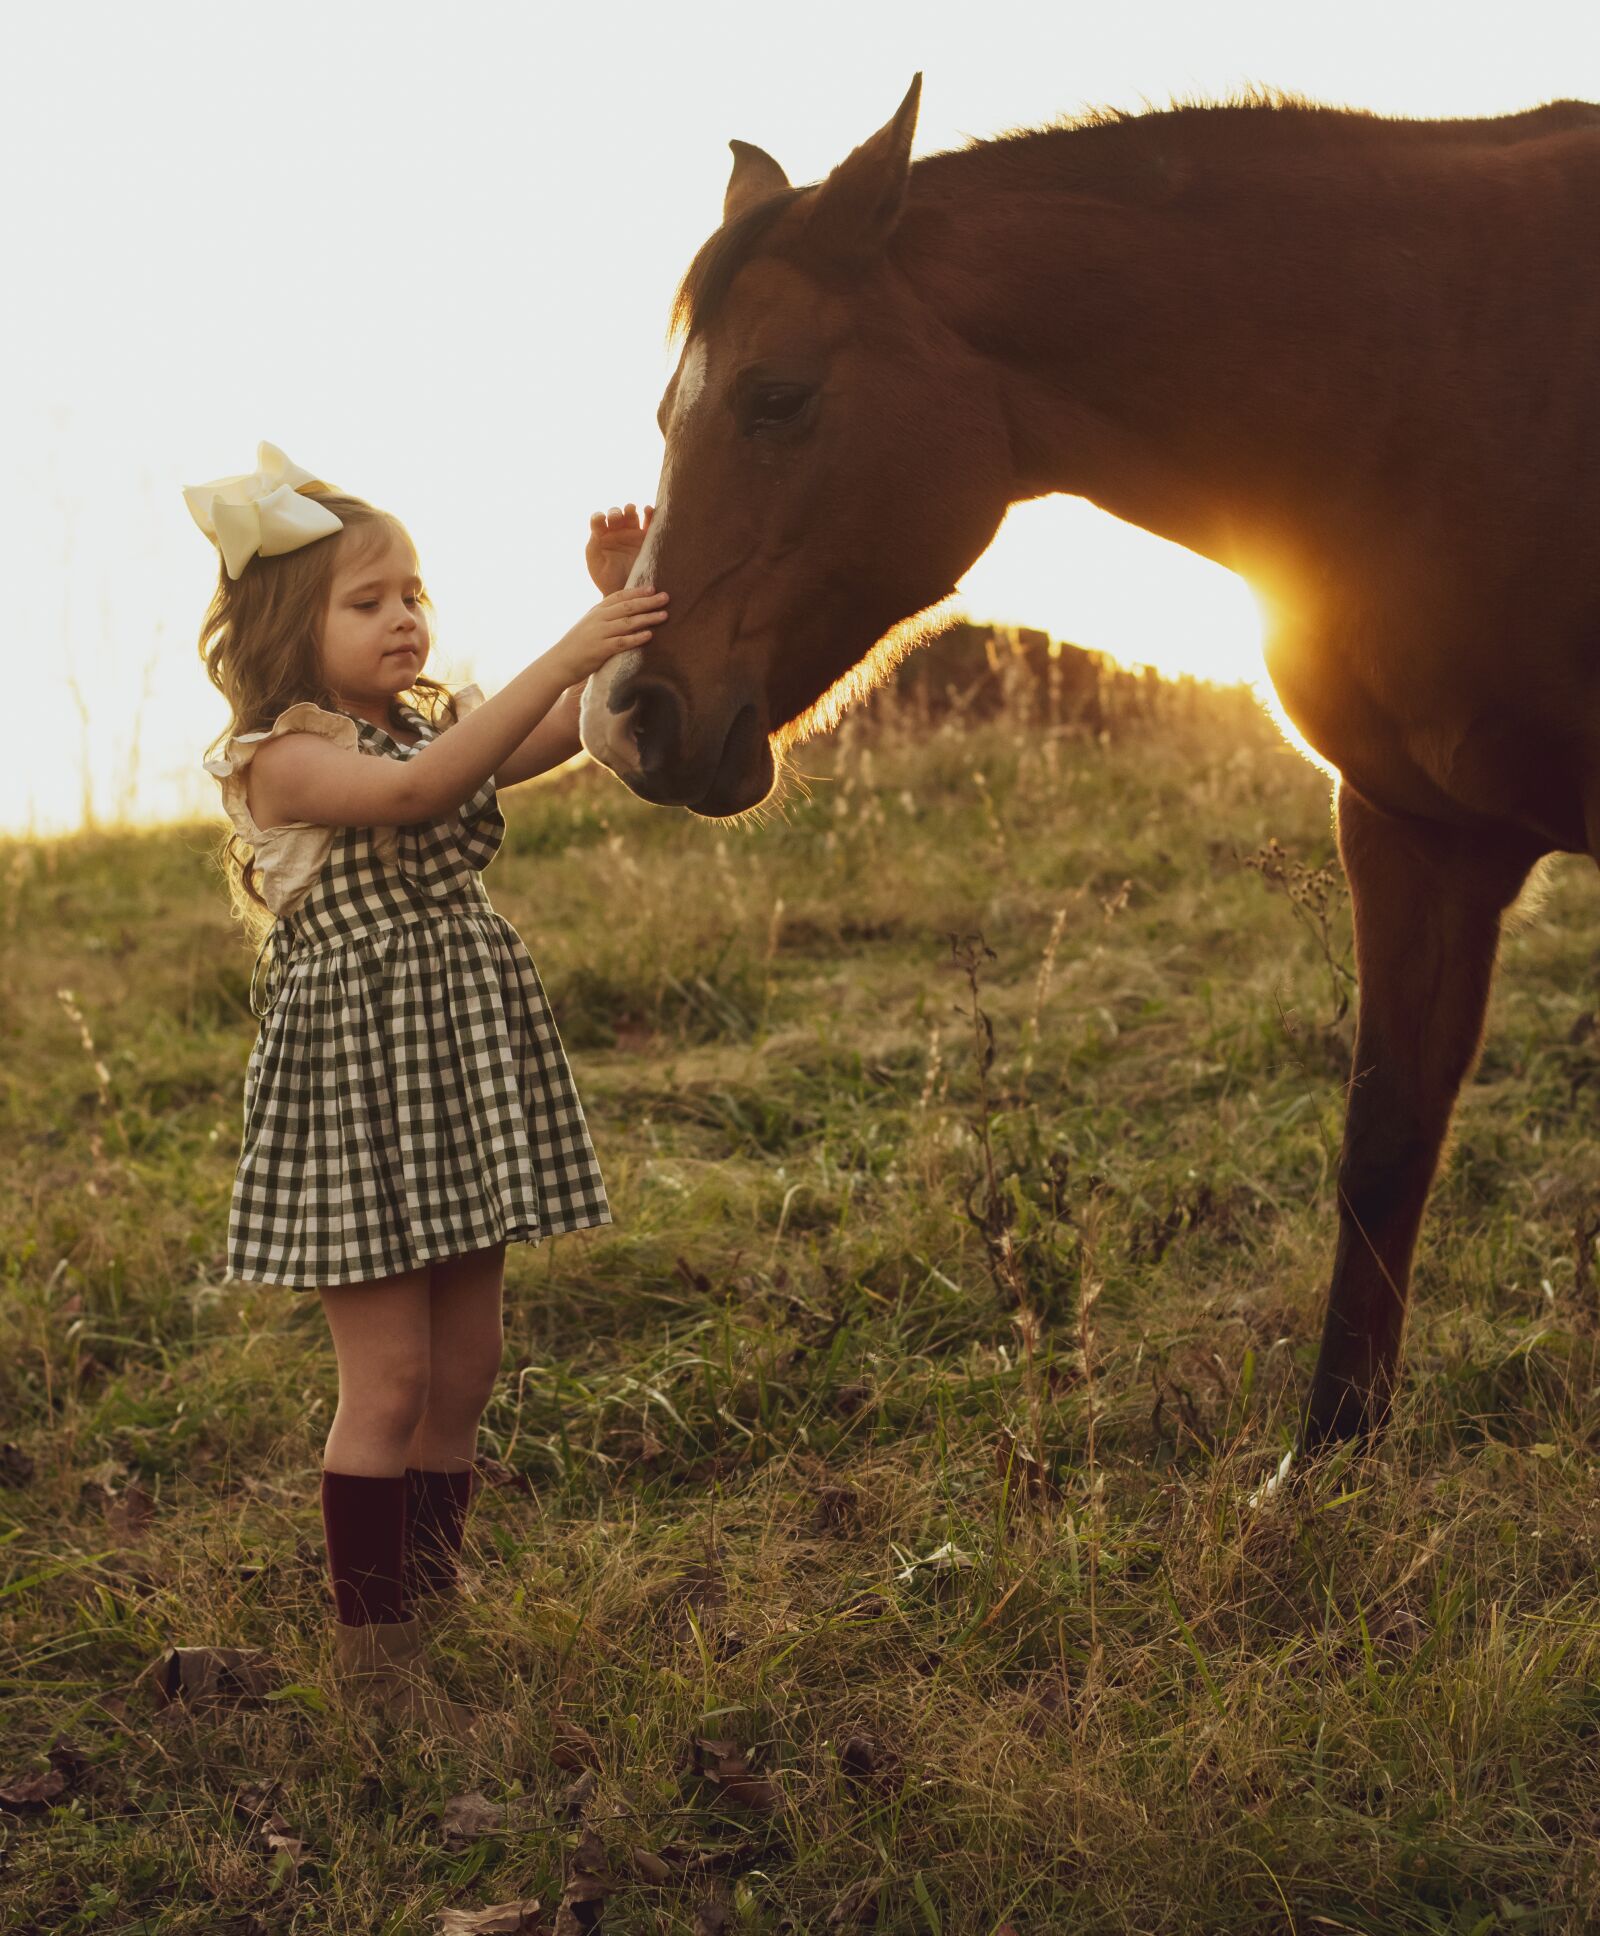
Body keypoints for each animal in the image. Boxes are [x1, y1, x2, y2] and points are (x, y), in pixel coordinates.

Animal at [577, 77, 1600, 1450]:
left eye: (776, 397)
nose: (626, 715)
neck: (1444, 375)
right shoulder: (1408, 832)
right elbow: (1384, 1143)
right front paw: (1328, 1454)